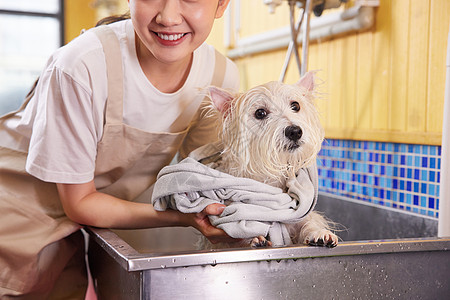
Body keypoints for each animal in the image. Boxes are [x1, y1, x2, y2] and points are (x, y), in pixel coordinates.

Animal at [204, 72, 338, 248]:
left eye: (295, 106)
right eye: (260, 113)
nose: (295, 131)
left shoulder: (299, 217)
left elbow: (309, 222)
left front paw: (319, 233)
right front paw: (253, 239)